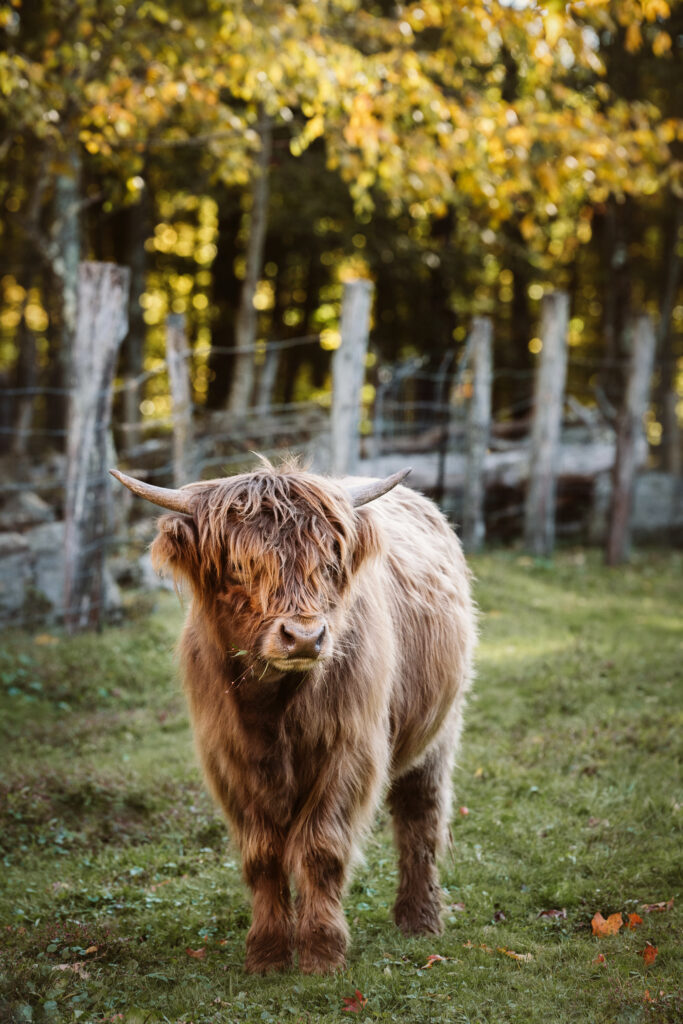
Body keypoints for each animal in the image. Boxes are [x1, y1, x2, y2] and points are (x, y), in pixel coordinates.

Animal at [112, 464, 475, 974]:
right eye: (240, 567)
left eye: (328, 565)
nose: (304, 638)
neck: (271, 706)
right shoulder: (230, 760)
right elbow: (263, 854)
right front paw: (267, 954)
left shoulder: (348, 751)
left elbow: (321, 848)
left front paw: (322, 953)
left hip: (439, 732)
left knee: (420, 819)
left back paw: (420, 919)